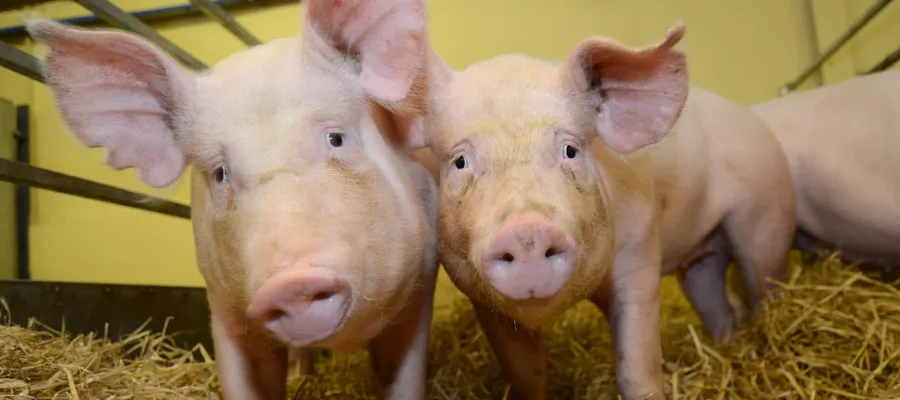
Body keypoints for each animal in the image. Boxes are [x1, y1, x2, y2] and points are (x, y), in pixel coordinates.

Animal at [26, 0, 440, 398]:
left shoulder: (421, 282)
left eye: (335, 138)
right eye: (219, 173)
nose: (291, 284)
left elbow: (401, 375)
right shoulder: (223, 305)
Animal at [413, 24, 795, 399]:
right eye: (460, 162)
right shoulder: (483, 302)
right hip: (702, 259)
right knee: (715, 303)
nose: (526, 232)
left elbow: (636, 371)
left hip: (766, 217)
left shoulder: (639, 254)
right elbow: (528, 375)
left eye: (570, 150)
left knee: (764, 285)